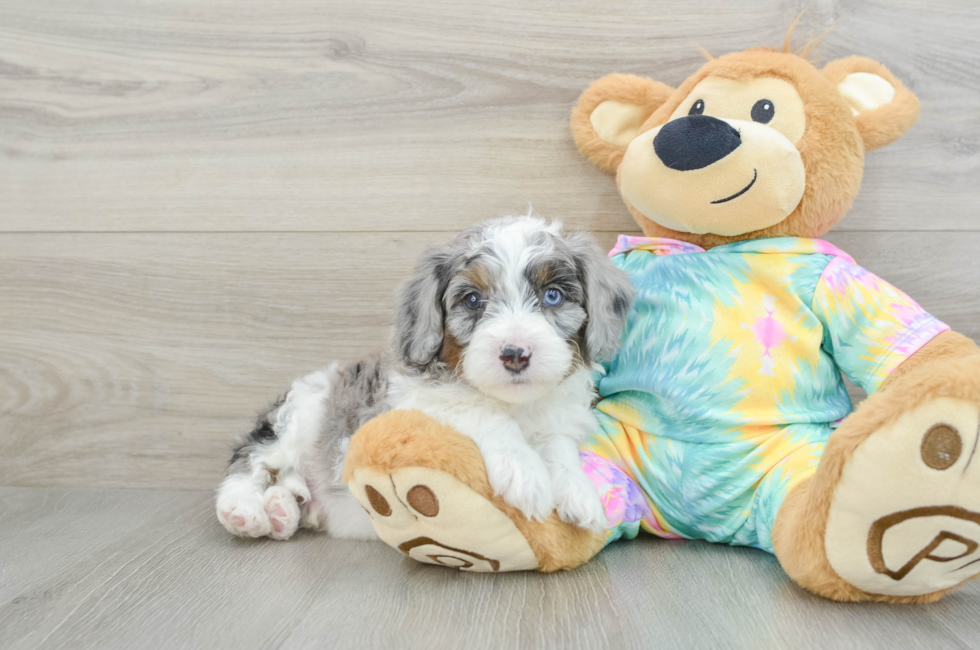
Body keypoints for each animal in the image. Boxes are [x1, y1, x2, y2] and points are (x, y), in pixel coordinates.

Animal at [214, 215, 636, 540]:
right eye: (472, 300)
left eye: (552, 296)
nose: (515, 353)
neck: (513, 402)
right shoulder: (417, 405)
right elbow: (483, 413)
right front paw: (525, 472)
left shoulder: (556, 418)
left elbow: (557, 445)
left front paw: (578, 491)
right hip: (296, 419)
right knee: (249, 463)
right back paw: (244, 510)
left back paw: (282, 510)